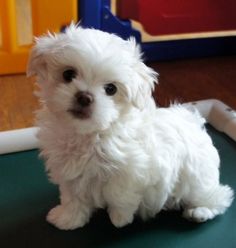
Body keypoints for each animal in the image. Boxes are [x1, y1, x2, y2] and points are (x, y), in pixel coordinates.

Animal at [26, 24, 233, 230]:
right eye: (68, 74)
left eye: (111, 89)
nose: (84, 97)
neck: (91, 134)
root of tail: (193, 121)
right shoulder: (70, 174)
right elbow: (73, 199)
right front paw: (68, 219)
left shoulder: (133, 169)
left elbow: (119, 193)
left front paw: (120, 218)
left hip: (197, 179)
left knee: (219, 196)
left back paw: (200, 211)